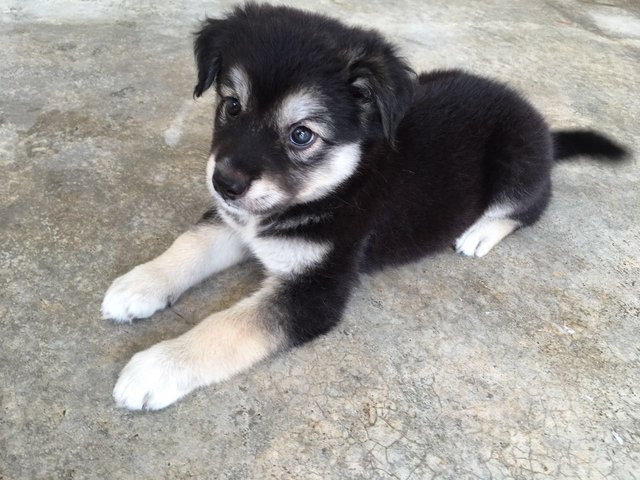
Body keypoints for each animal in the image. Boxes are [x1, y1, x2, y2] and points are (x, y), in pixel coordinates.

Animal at [102, 2, 628, 408]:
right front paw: (138, 285)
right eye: (231, 106)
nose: (224, 183)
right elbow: (190, 245)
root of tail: (544, 127)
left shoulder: (317, 289)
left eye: (301, 135)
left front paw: (156, 368)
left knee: (530, 205)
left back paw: (479, 233)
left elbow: (226, 326)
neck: (340, 181)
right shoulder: (237, 221)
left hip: (516, 159)